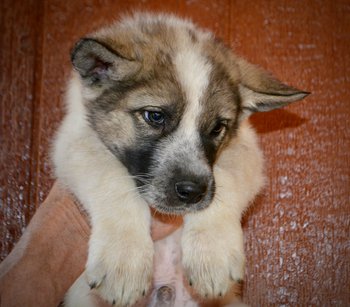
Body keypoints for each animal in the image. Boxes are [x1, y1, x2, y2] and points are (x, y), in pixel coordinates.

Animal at [52, 12, 308, 307]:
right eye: (155, 116)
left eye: (217, 128)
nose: (192, 192)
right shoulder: (76, 140)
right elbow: (112, 179)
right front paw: (124, 261)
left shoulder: (245, 151)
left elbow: (225, 182)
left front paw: (212, 255)